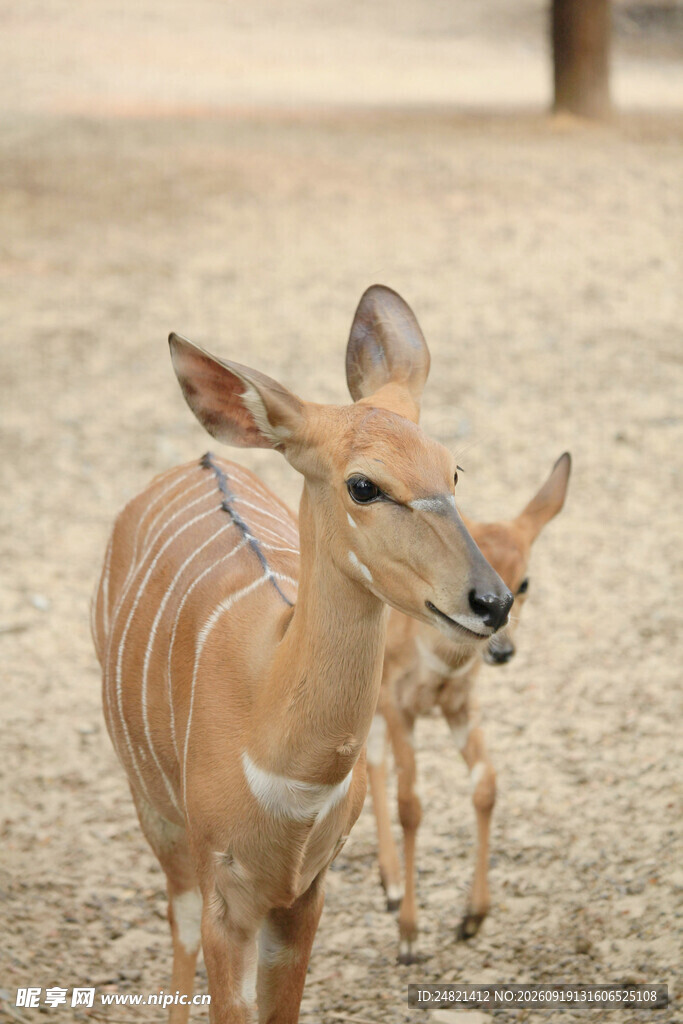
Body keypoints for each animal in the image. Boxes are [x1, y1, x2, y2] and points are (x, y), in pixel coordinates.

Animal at [91, 285, 514, 1024]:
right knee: (176, 926)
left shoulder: (304, 892)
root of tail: (201, 459)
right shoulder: (226, 892)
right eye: (364, 486)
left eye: (453, 469)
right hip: (157, 815)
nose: (490, 601)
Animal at [364, 453, 571, 964]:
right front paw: (409, 936)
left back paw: (390, 884)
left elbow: (486, 785)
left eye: (524, 580)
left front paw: (472, 918)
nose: (501, 650)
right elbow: (411, 804)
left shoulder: (460, 704)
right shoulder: (398, 703)